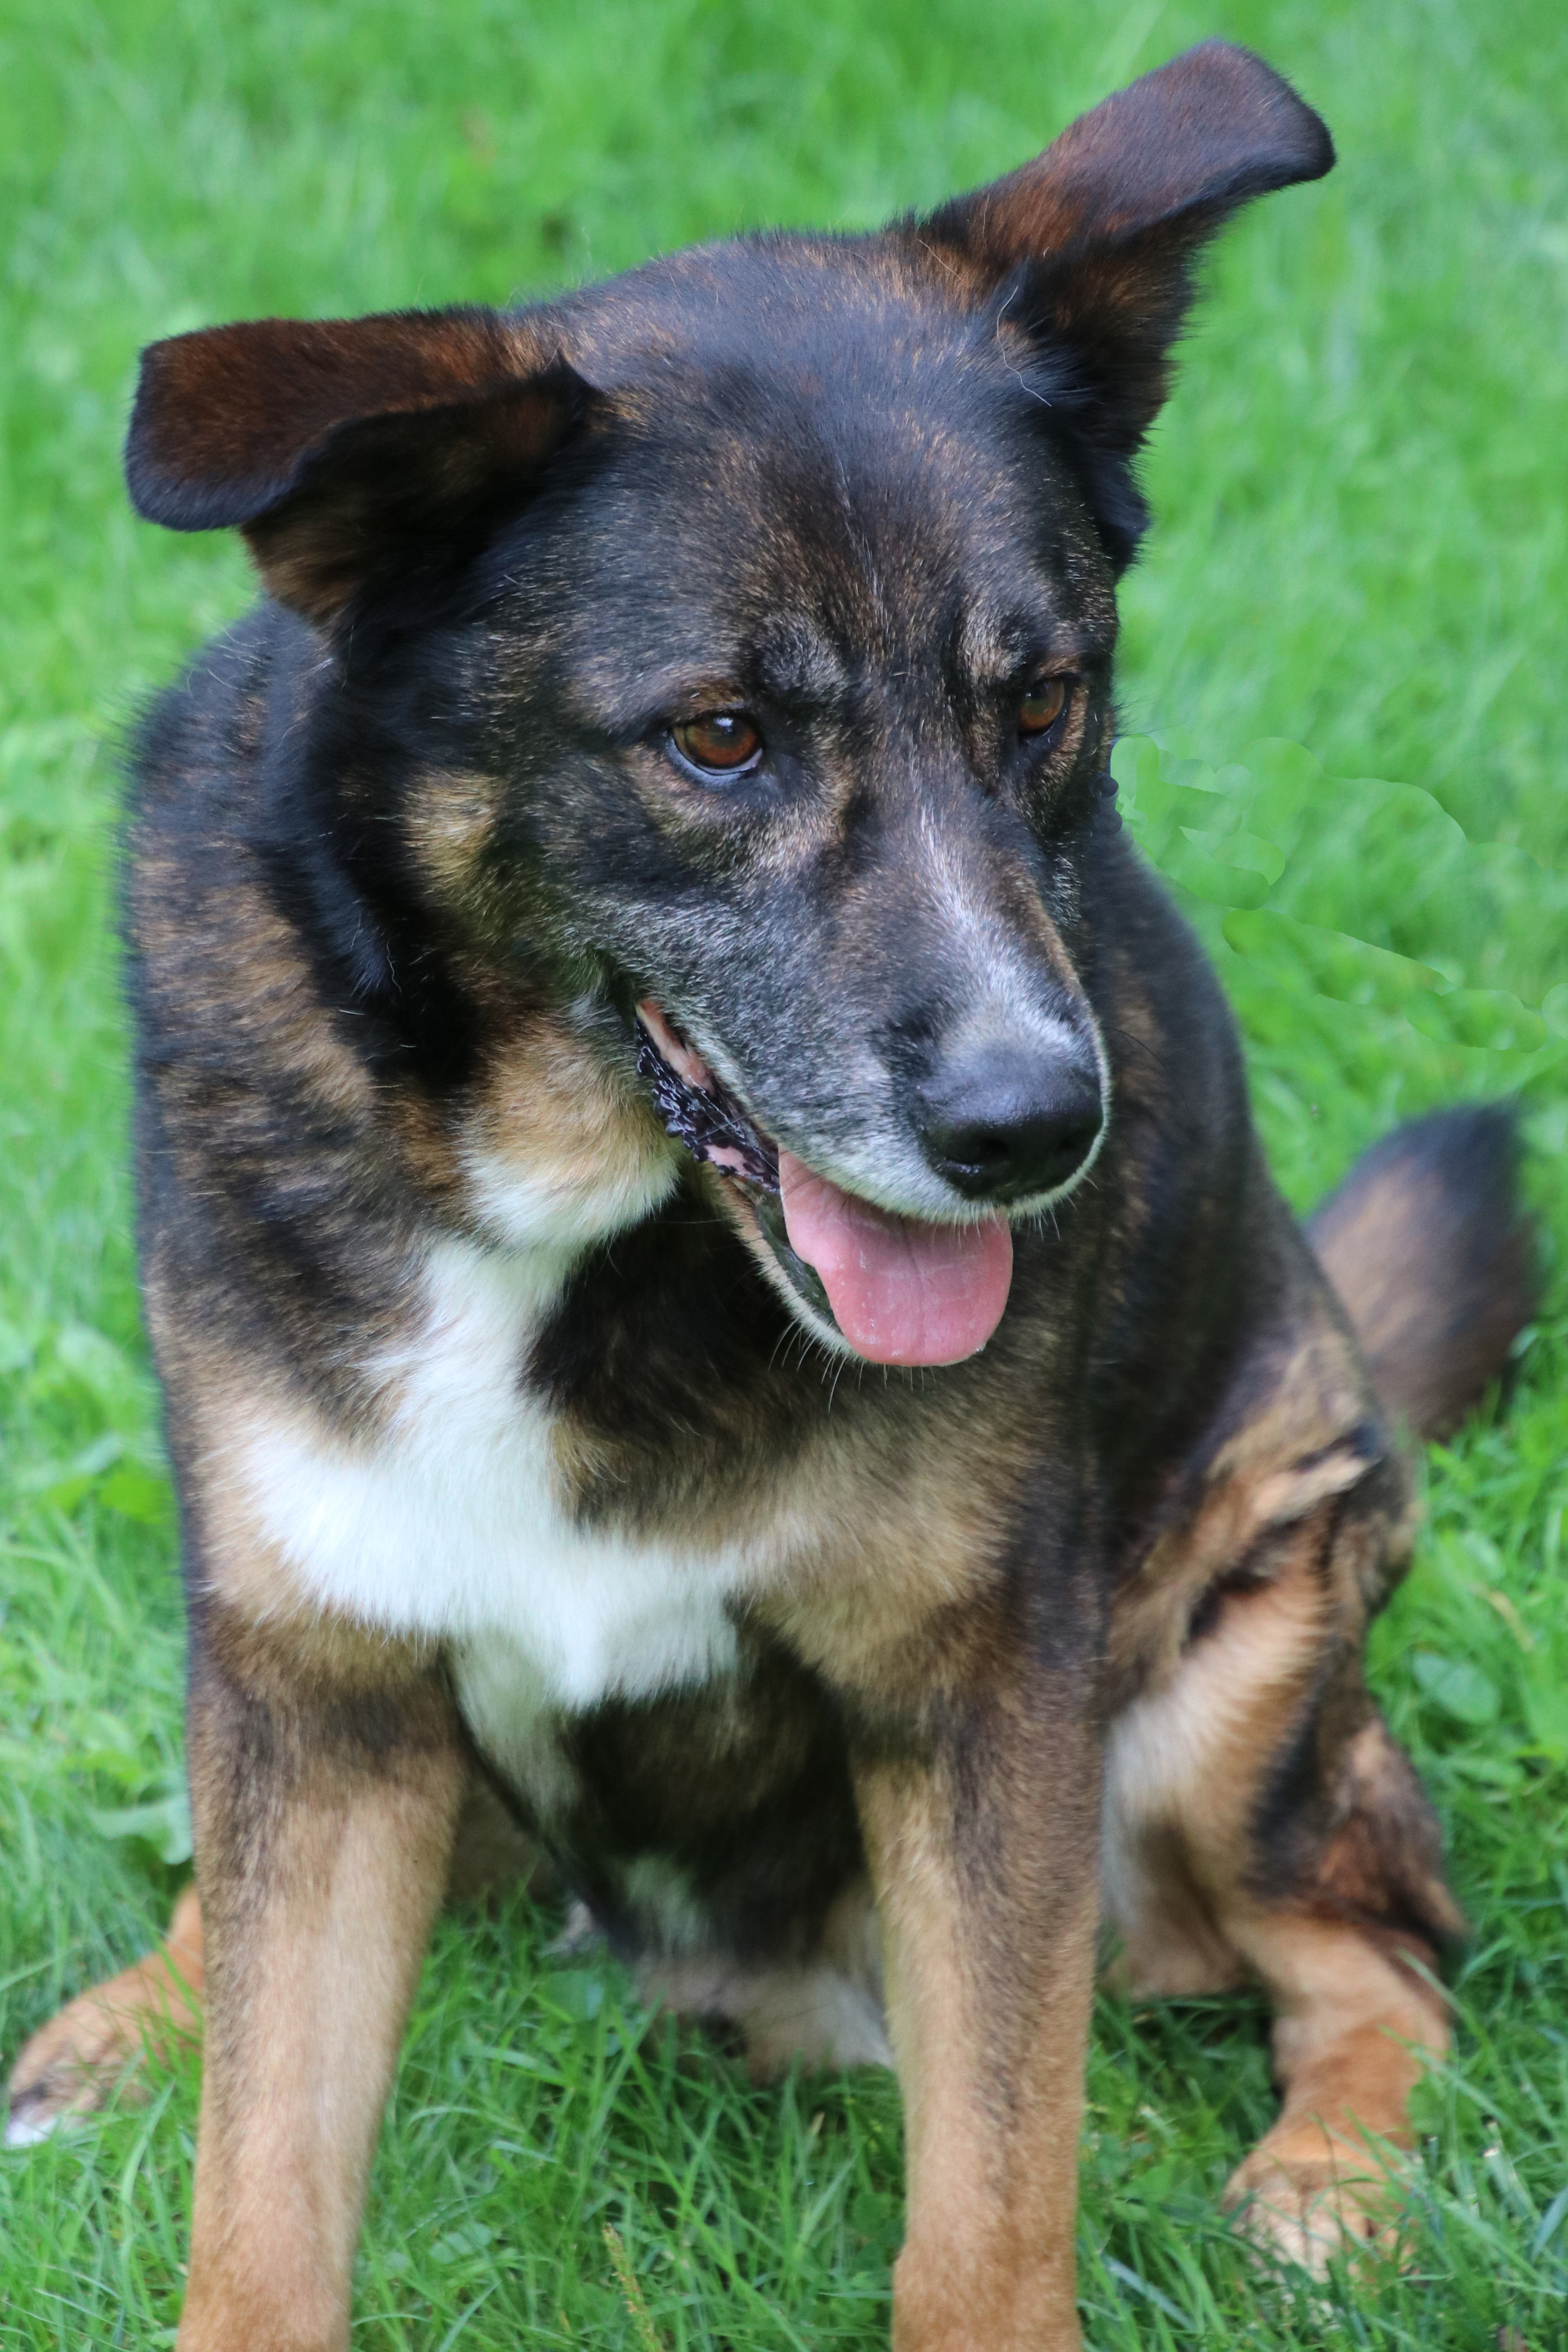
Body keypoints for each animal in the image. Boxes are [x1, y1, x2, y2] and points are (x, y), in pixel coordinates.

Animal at [6, 37, 1542, 2352]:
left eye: (1042, 699)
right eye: (717, 736)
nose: (1033, 1126)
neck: (570, 1223)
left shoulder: (976, 1703)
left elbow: (989, 2205)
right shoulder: (323, 1677)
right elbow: (258, 2189)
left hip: (1240, 1659)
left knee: (1384, 1953)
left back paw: (1330, 2187)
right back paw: (131, 2015)